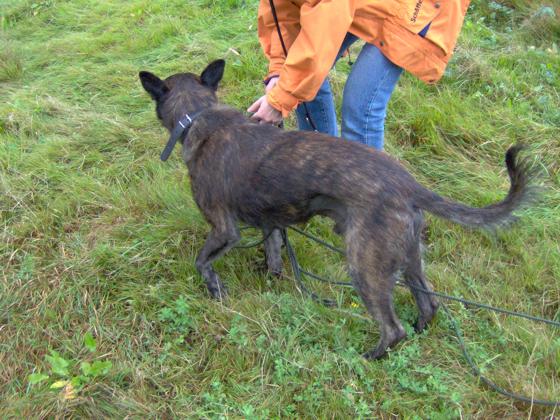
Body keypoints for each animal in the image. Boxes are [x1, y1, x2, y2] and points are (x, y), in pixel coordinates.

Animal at [140, 60, 540, 358]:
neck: (197, 115)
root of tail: (408, 185)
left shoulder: (223, 230)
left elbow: (202, 262)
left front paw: (216, 291)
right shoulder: (271, 224)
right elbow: (273, 253)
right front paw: (271, 279)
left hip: (364, 265)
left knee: (392, 329)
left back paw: (368, 357)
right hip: (409, 258)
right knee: (429, 305)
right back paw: (418, 331)